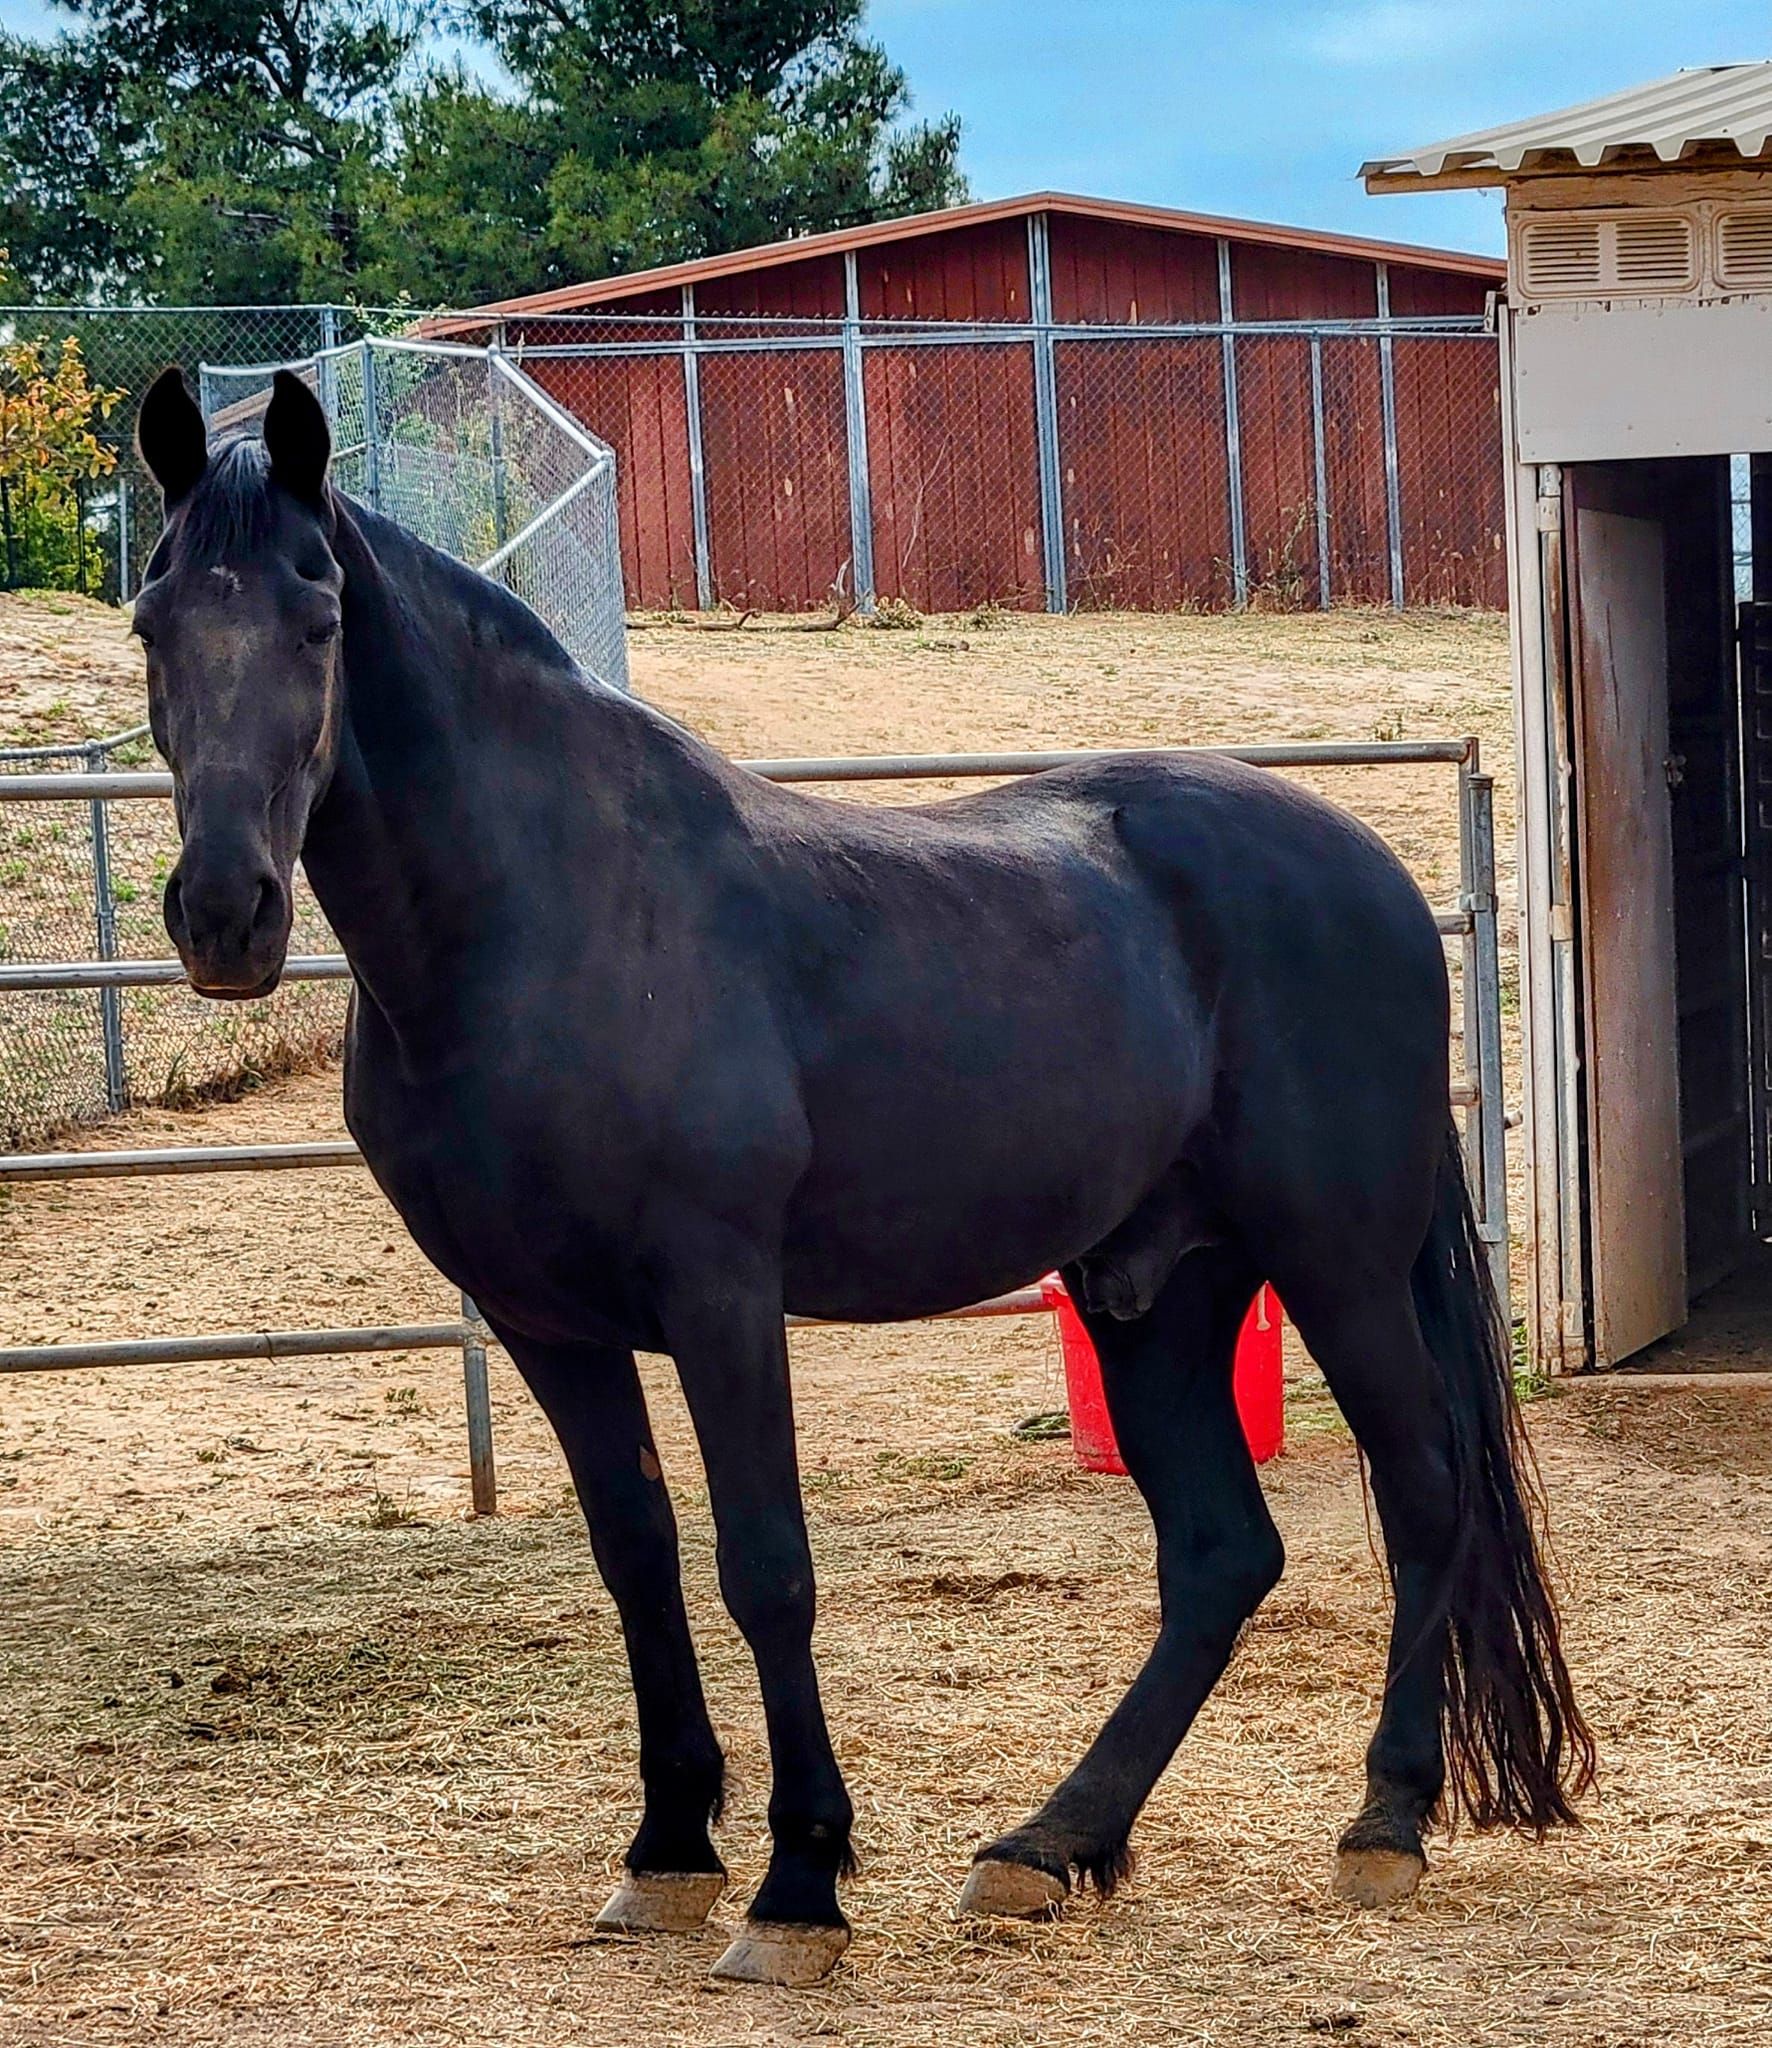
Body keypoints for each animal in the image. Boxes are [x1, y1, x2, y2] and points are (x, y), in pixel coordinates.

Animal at [130, 365, 1593, 1986]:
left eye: (319, 618)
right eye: (151, 621)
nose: (224, 914)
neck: (551, 916)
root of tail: (1375, 873)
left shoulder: (719, 1296)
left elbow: (766, 1567)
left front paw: (796, 1887)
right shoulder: (545, 1324)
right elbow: (636, 1558)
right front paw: (666, 1851)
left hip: (1335, 1261)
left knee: (1424, 1487)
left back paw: (1383, 1820)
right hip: (1159, 1289)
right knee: (1222, 1550)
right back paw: (1048, 1844)